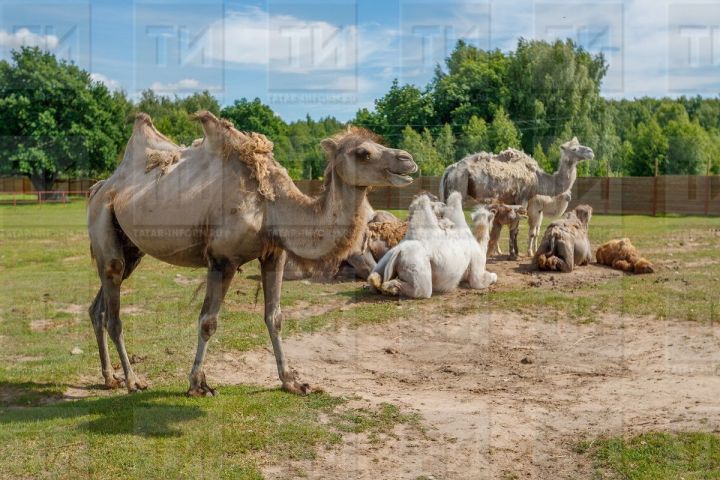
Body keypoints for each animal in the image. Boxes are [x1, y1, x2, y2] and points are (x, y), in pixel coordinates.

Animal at [88, 110, 416, 396]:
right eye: (363, 152)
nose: (408, 160)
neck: (272, 207)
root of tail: (100, 187)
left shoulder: (274, 254)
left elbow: (275, 317)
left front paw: (292, 382)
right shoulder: (222, 259)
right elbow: (208, 321)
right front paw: (197, 384)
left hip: (132, 249)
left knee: (98, 307)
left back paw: (110, 378)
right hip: (104, 223)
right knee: (113, 309)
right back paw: (133, 381)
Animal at [368, 190, 498, 296]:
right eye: (490, 219)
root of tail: (399, 251)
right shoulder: (477, 269)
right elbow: (484, 279)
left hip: (384, 259)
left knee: (372, 278)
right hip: (417, 267)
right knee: (421, 290)